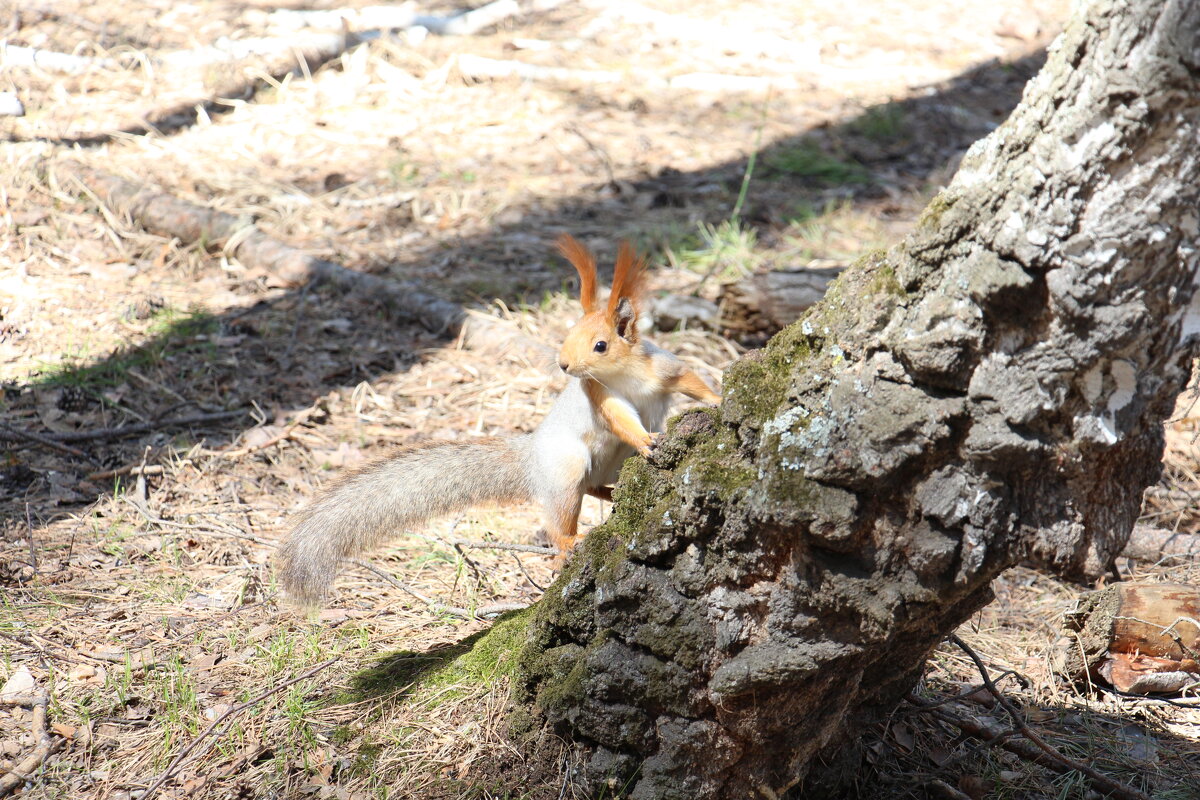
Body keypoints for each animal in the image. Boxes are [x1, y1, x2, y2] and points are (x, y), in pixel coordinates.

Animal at [274, 235, 715, 604]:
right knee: (565, 509)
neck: (625, 375)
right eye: (568, 334)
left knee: (594, 488)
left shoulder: (664, 369)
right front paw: (645, 439)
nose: (563, 364)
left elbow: (692, 380)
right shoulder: (600, 394)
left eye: (601, 345)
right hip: (566, 466)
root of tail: (531, 456)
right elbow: (621, 419)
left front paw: (716, 398)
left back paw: (615, 491)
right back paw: (569, 542)